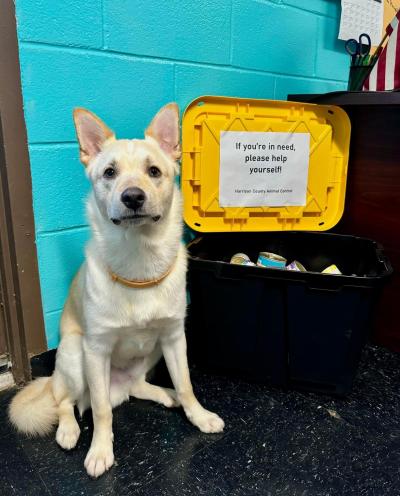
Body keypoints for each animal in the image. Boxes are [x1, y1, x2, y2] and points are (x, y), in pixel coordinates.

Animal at [10, 103, 225, 476]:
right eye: (109, 173)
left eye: (154, 171)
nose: (133, 197)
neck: (139, 263)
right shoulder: (96, 351)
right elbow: (100, 411)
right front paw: (100, 450)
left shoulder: (174, 338)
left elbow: (186, 384)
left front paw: (197, 415)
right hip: (73, 353)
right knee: (66, 401)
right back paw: (68, 430)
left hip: (153, 351)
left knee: (137, 386)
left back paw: (165, 394)